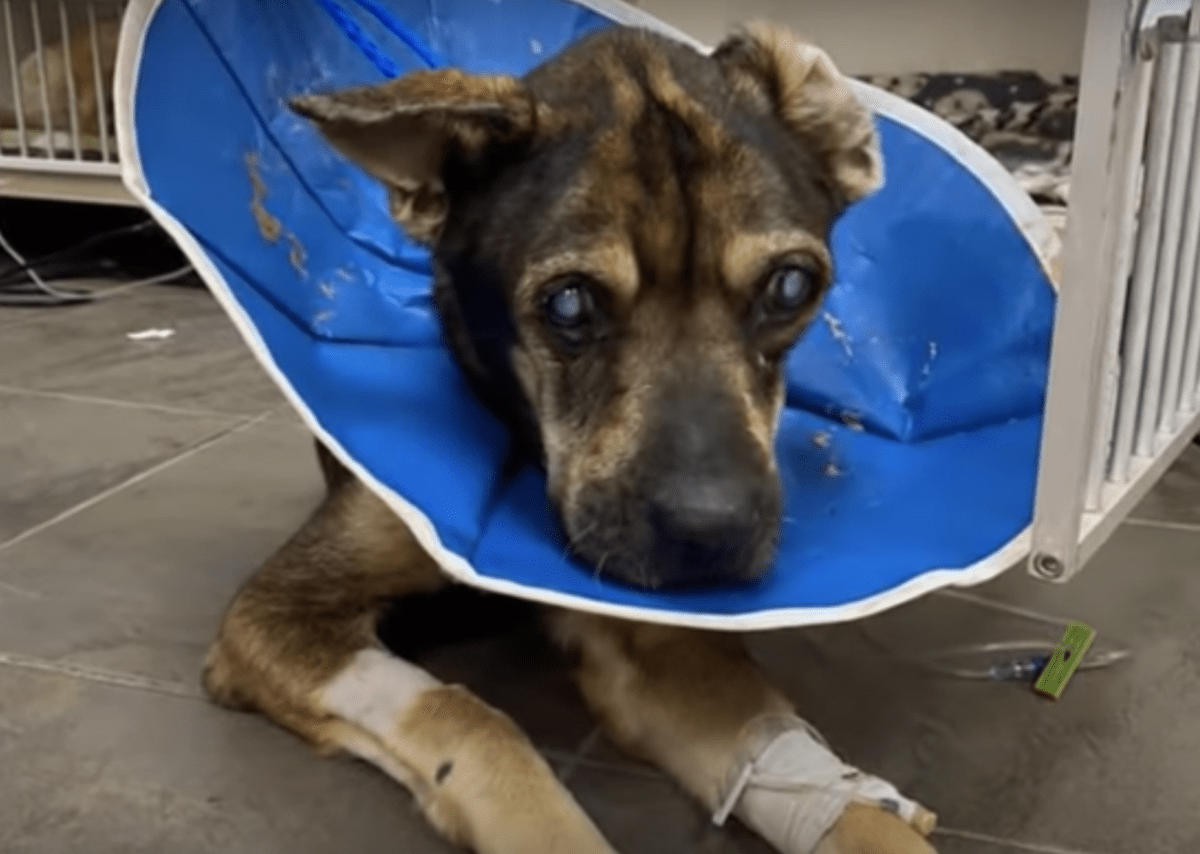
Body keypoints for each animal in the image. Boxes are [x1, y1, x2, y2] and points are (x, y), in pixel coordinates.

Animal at [204, 21, 936, 854]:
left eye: (790, 286)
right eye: (569, 302)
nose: (714, 536)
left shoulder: (658, 644)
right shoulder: (275, 615)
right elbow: (468, 716)